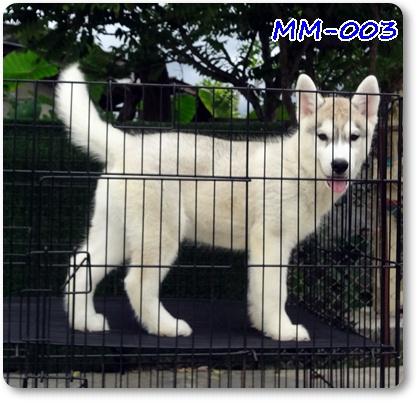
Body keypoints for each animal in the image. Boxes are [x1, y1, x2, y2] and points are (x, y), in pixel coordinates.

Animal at [56, 65, 379, 341]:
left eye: (353, 137)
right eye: (322, 136)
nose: (340, 166)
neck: (299, 168)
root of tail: (130, 144)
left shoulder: (266, 247)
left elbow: (260, 290)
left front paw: (264, 325)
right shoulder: (272, 239)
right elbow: (276, 291)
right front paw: (282, 330)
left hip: (117, 233)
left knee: (80, 265)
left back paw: (85, 322)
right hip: (160, 235)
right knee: (137, 282)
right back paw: (165, 326)